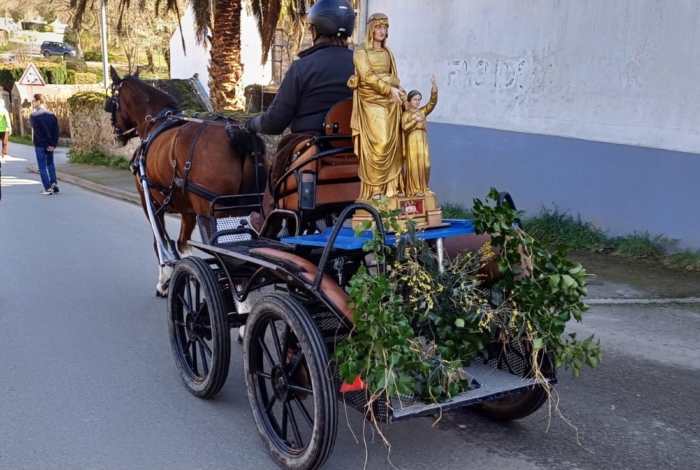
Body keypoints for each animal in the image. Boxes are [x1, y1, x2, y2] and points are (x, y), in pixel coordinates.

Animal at [106, 67, 266, 294]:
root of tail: (236, 133)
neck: (157, 121)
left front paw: (164, 282)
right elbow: (183, 245)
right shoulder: (188, 210)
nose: (115, 136)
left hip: (212, 209)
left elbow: (160, 242)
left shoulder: (149, 203)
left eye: (112, 100)